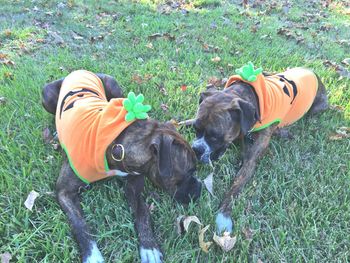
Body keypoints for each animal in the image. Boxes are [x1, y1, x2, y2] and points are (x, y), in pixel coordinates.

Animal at [41, 72, 201, 263]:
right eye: (190, 171)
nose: (201, 189)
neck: (116, 146)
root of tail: (77, 71)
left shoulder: (134, 182)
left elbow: (142, 212)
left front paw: (149, 247)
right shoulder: (64, 191)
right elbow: (79, 224)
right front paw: (92, 255)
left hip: (114, 87)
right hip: (47, 94)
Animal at [189, 68, 328, 235]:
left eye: (214, 136)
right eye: (195, 129)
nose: (195, 150)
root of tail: (312, 72)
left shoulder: (249, 162)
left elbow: (234, 188)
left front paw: (223, 217)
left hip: (317, 108)